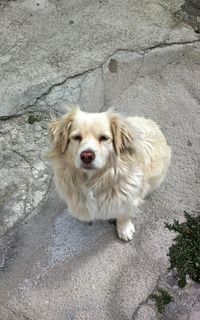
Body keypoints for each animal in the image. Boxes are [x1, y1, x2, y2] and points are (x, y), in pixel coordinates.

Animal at [46, 107, 170, 240]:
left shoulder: (129, 200)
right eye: (76, 137)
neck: (94, 180)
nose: (86, 156)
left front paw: (124, 229)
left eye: (104, 138)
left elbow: (124, 214)